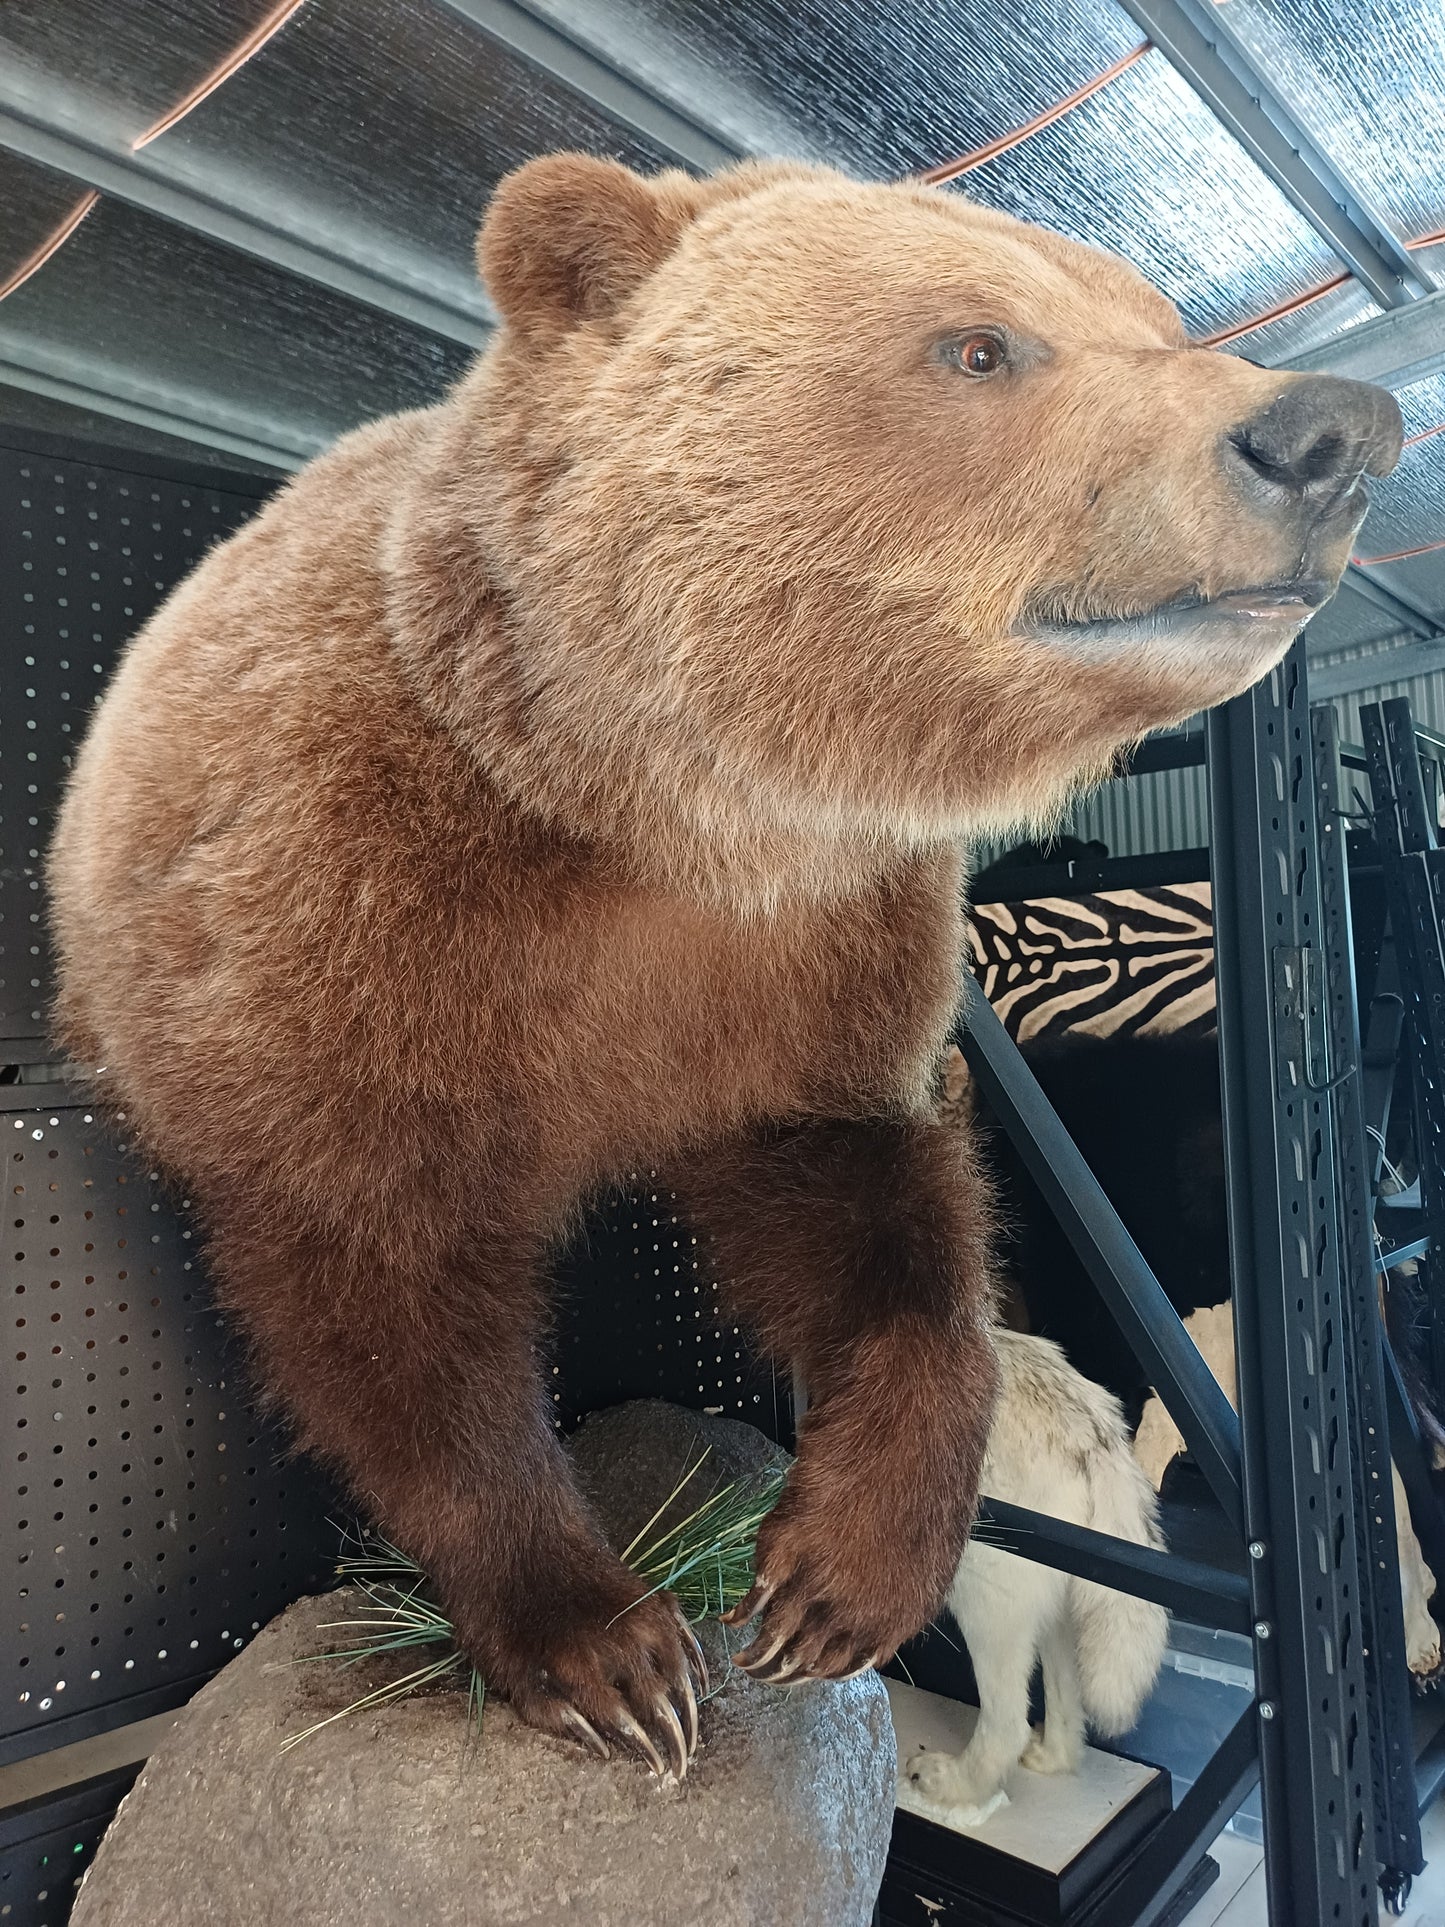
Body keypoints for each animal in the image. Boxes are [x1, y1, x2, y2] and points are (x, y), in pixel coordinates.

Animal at [47, 154, 1401, 1779]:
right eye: (980, 345)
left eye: (1161, 316)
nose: (1329, 431)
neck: (658, 810)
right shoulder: (346, 910)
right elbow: (387, 1283)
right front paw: (608, 1649)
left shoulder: (818, 956)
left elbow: (867, 1213)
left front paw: (832, 1581)